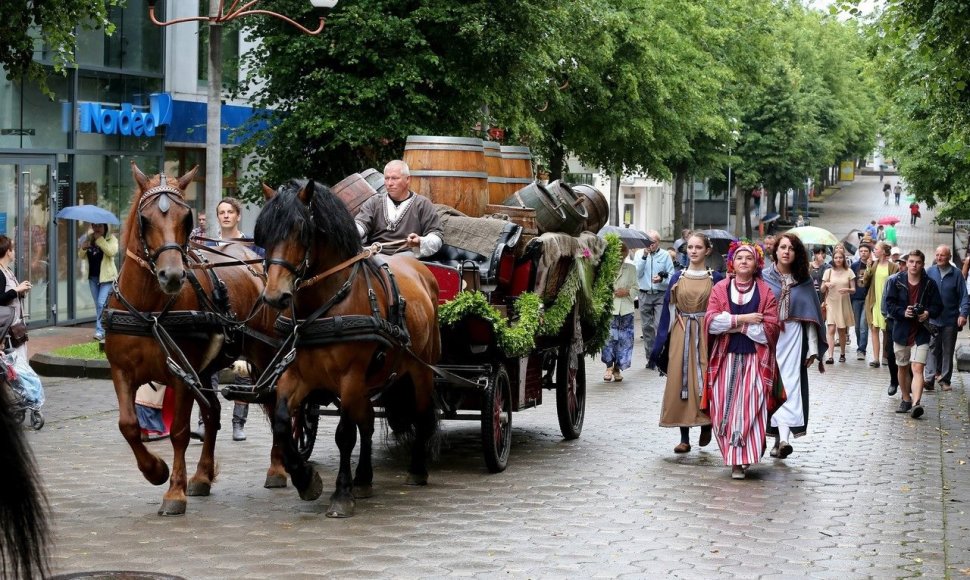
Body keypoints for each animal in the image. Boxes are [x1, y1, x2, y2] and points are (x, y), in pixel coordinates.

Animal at [107, 163, 288, 516]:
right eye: (145, 218)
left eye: (186, 218)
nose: (172, 276)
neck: (150, 310)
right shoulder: (122, 372)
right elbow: (128, 425)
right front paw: (155, 471)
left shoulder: (181, 376)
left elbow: (178, 432)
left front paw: (174, 491)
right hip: (206, 370)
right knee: (213, 413)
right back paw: (202, 476)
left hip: (263, 355)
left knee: (273, 403)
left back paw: (277, 468)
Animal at [255, 178, 440, 516]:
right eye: (264, 233)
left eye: (301, 230)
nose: (274, 296)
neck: (326, 305)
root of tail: (420, 270)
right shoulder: (297, 374)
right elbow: (283, 422)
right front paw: (305, 479)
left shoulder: (350, 377)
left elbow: (344, 434)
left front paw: (341, 493)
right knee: (366, 423)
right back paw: (364, 479)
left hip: (421, 370)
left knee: (421, 414)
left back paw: (417, 470)